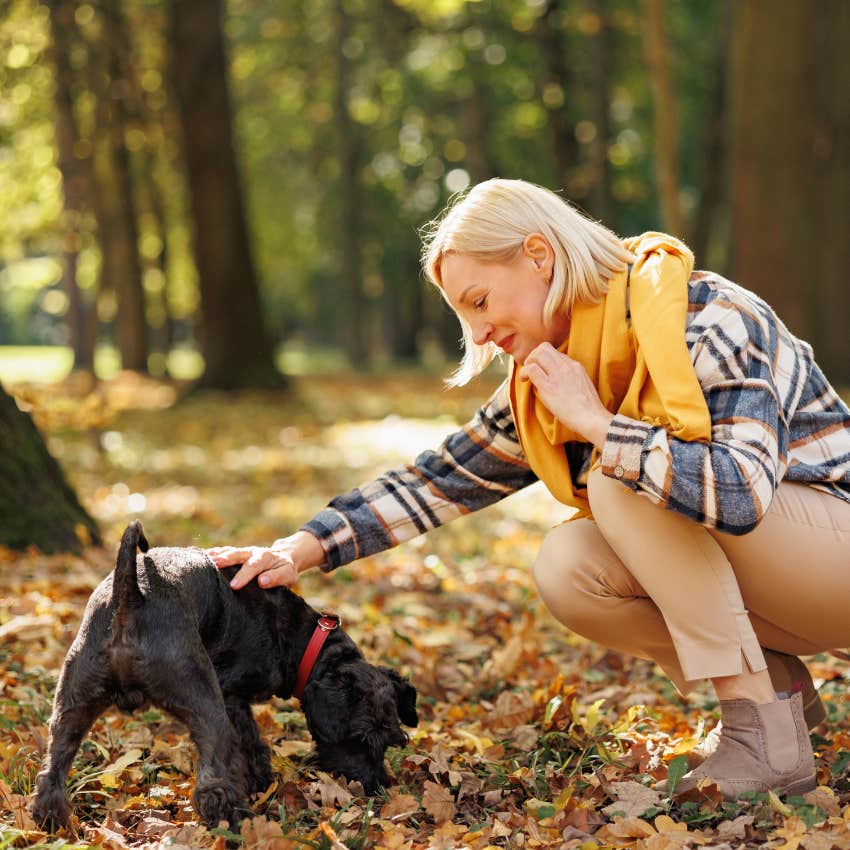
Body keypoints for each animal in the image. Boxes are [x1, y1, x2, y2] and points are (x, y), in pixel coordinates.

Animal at [33, 520, 418, 824]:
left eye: (394, 741)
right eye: (362, 739)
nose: (378, 786)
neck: (304, 640)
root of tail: (130, 595)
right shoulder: (231, 696)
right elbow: (252, 744)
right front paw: (262, 783)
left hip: (72, 701)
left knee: (53, 768)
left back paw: (53, 821)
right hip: (205, 703)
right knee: (212, 779)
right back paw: (232, 819)